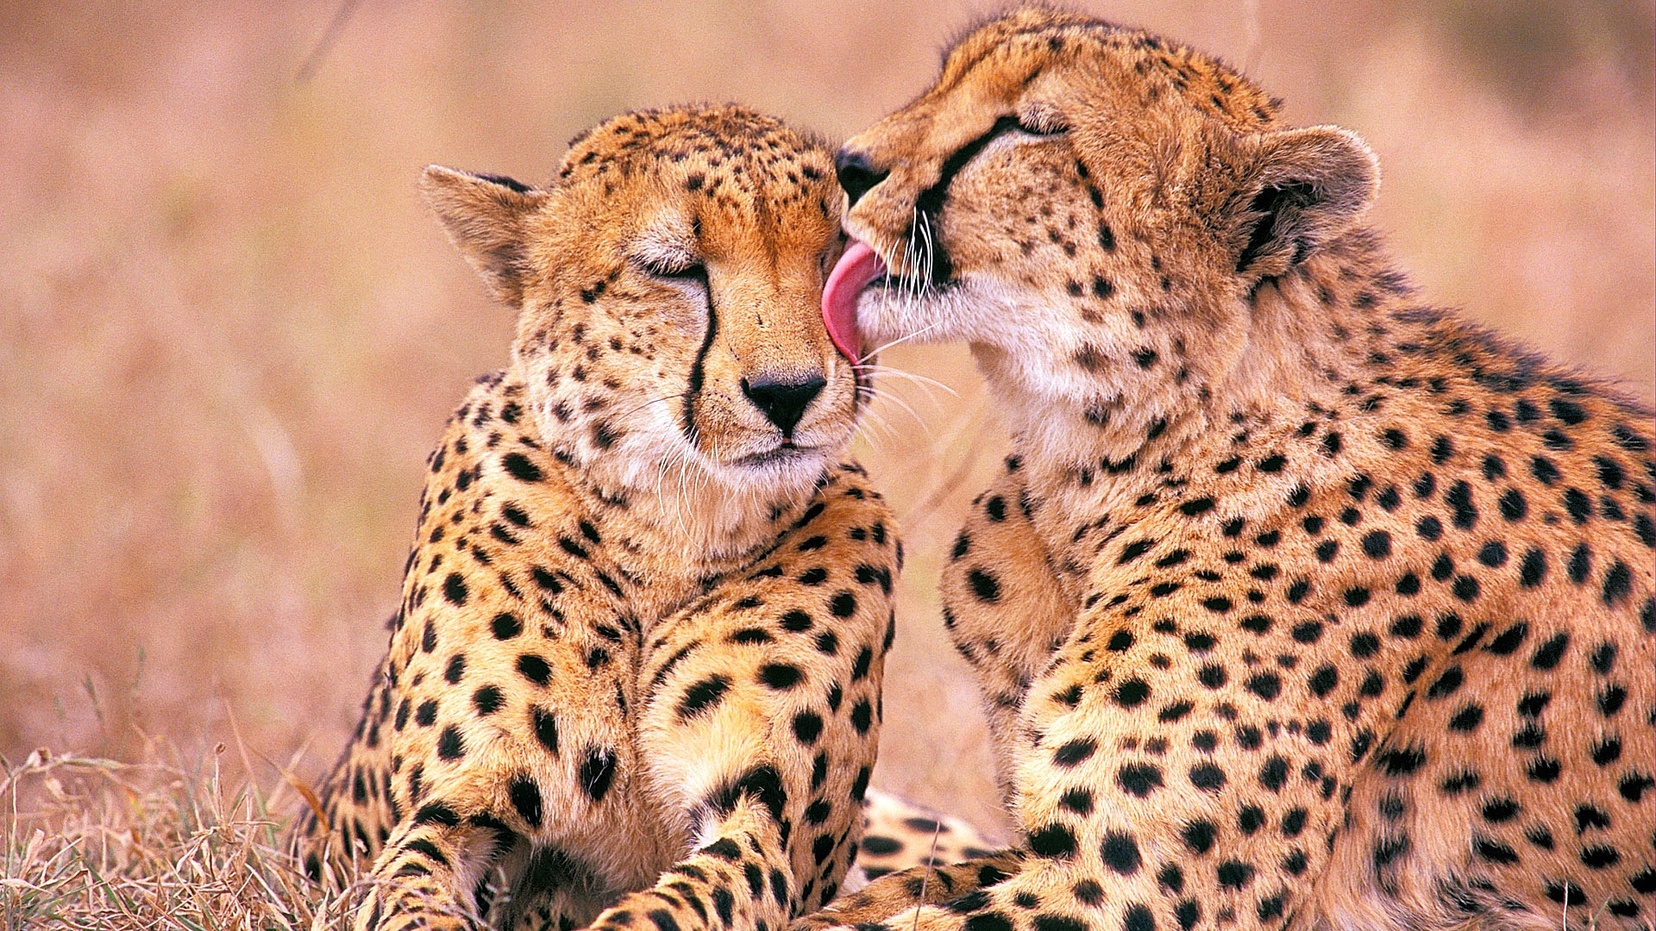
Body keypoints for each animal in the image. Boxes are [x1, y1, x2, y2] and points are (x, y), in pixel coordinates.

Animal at [288, 104, 908, 931]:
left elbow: (679, 901)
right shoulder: (458, 801)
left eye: (835, 257)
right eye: (673, 267)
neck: (670, 529)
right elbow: (411, 888)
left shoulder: (765, 820)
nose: (789, 390)